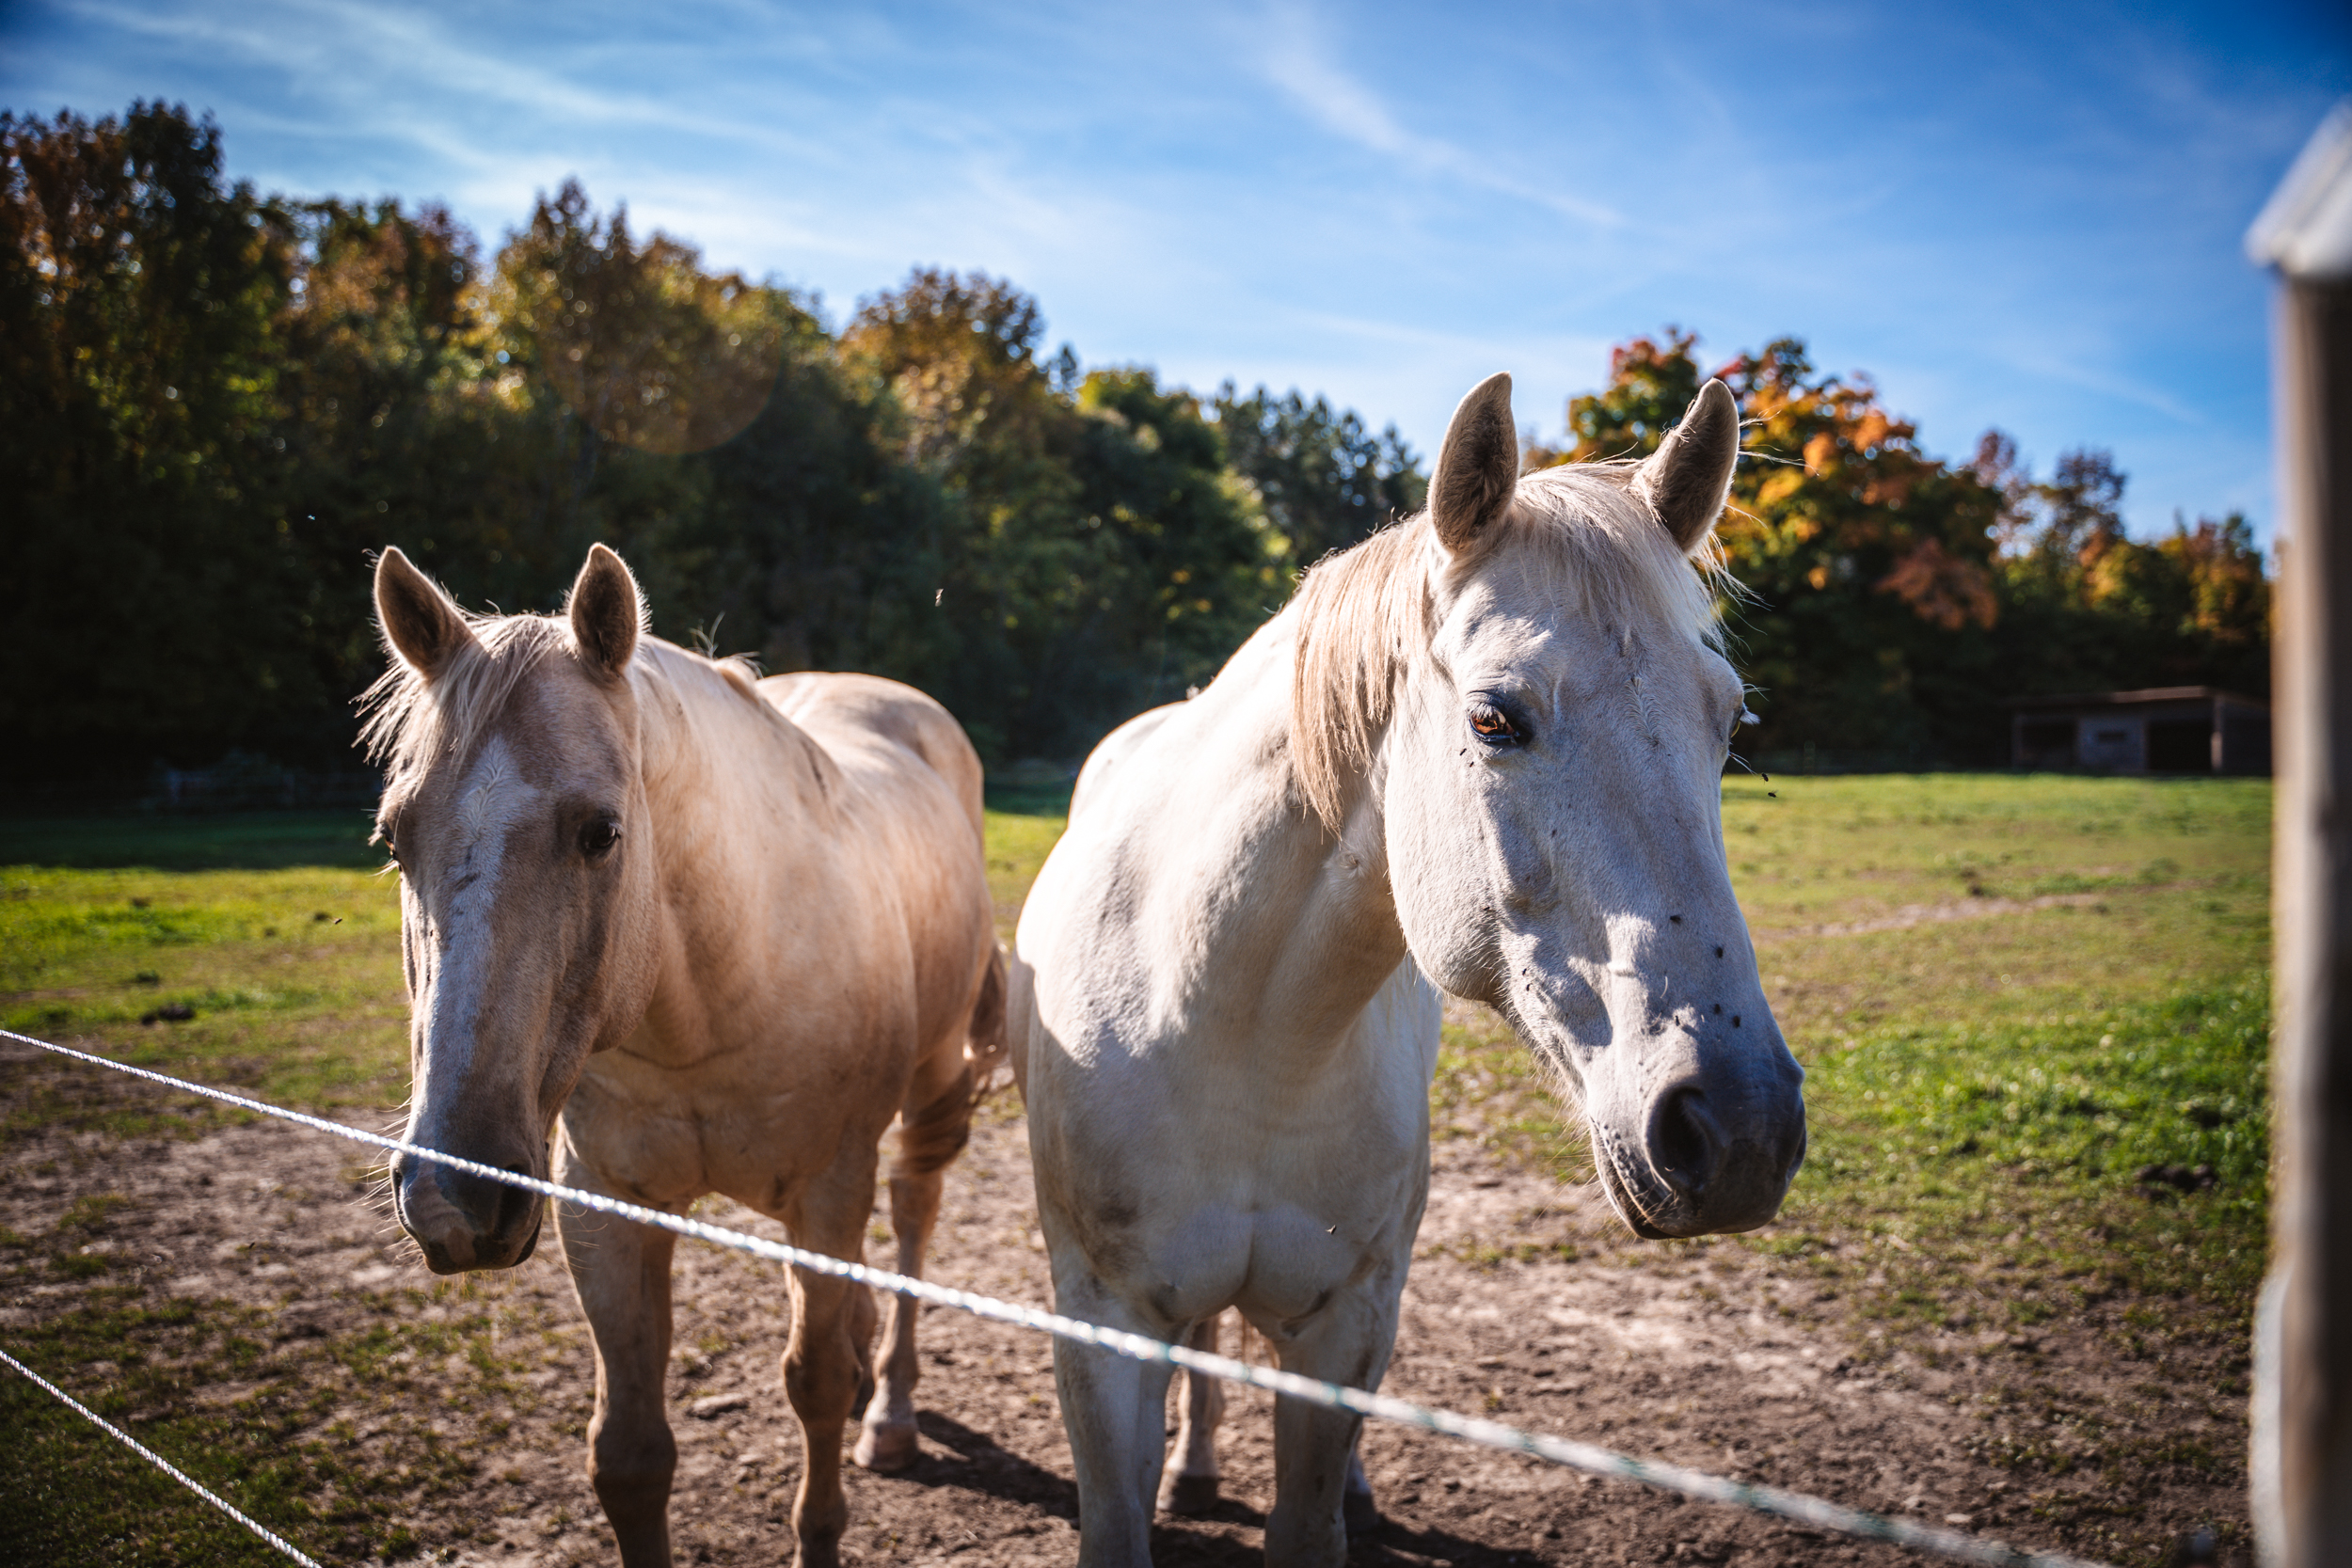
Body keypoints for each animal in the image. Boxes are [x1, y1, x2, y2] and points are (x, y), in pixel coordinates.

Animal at [364, 543, 1002, 1568]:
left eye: (601, 831)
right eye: (393, 838)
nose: (454, 1198)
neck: (699, 1012)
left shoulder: (828, 1191)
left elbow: (815, 1386)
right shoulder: (606, 1210)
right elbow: (629, 1453)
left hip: (930, 1087)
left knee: (911, 1217)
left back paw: (892, 1413)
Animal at [1021, 373, 1806, 1560]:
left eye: (1729, 717)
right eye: (1494, 716)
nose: (1740, 1127)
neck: (1236, 1030)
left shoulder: (1345, 1327)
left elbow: (1307, 1517)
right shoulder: (1101, 1331)